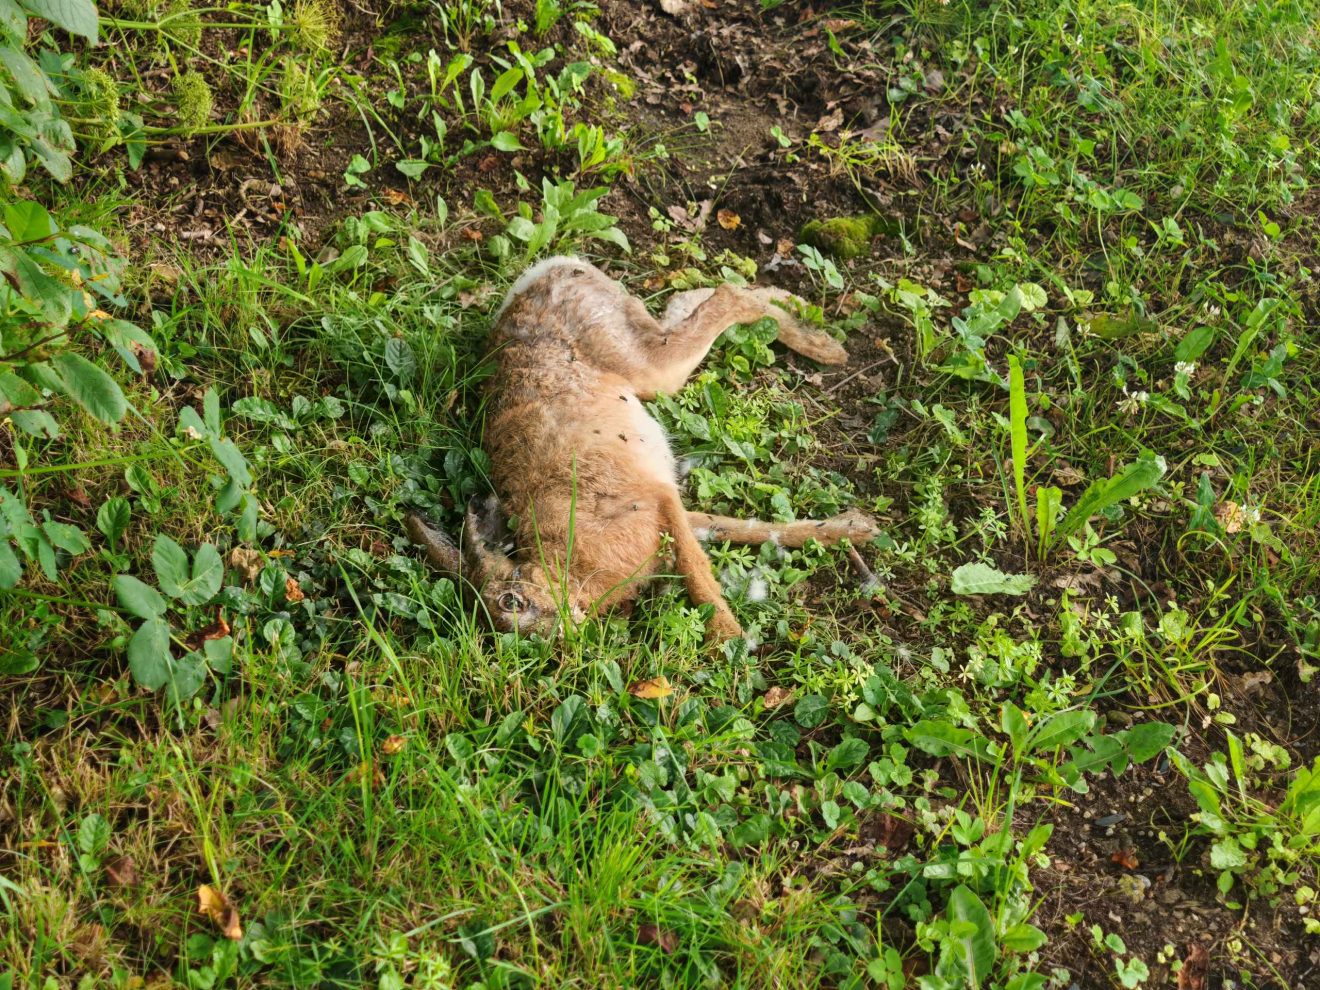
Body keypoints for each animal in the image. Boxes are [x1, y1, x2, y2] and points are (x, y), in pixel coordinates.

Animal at [405, 256, 878, 642]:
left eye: (511, 602)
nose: (562, 637)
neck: (563, 564)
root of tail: (541, 276)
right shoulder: (670, 511)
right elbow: (742, 528)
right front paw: (854, 529)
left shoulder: (657, 500)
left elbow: (699, 573)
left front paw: (729, 640)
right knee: (695, 301)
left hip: (649, 367)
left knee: (726, 298)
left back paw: (826, 347)